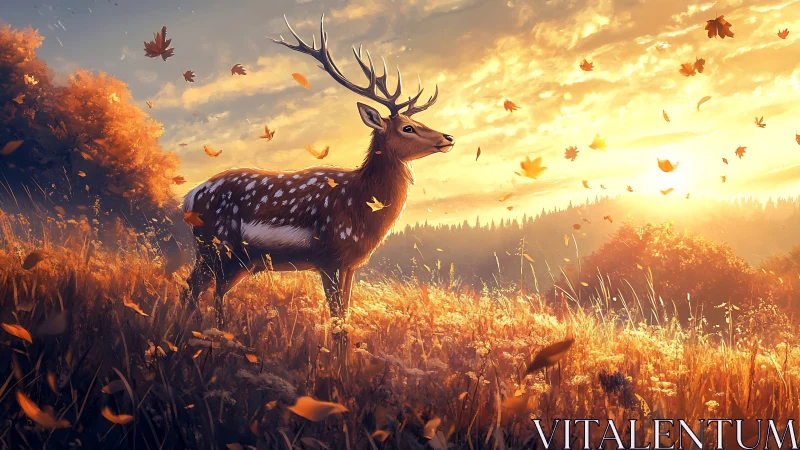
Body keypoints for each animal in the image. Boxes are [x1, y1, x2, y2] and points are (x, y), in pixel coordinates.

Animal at [181, 15, 454, 333]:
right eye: (407, 127)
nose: (448, 137)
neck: (361, 206)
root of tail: (189, 197)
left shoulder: (350, 264)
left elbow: (345, 317)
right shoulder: (329, 257)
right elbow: (336, 323)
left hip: (233, 258)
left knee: (204, 288)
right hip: (215, 245)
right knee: (199, 288)